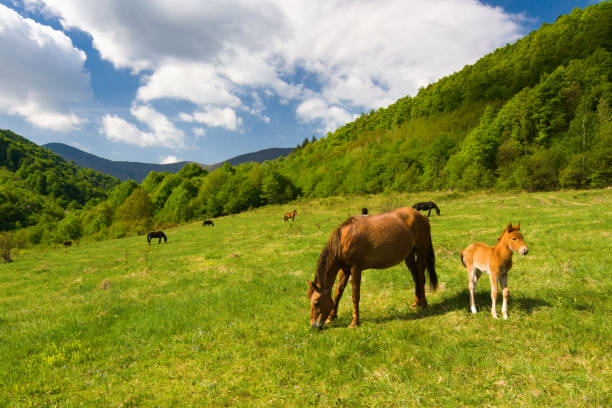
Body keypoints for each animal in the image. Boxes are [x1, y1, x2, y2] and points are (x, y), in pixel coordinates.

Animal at [308, 207, 438, 328]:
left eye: (316, 303)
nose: (314, 326)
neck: (343, 241)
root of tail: (422, 216)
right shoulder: (344, 270)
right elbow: (338, 293)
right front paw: (331, 317)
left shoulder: (355, 269)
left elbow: (355, 295)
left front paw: (354, 322)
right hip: (409, 256)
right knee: (416, 277)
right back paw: (416, 303)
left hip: (421, 252)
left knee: (421, 278)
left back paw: (424, 304)